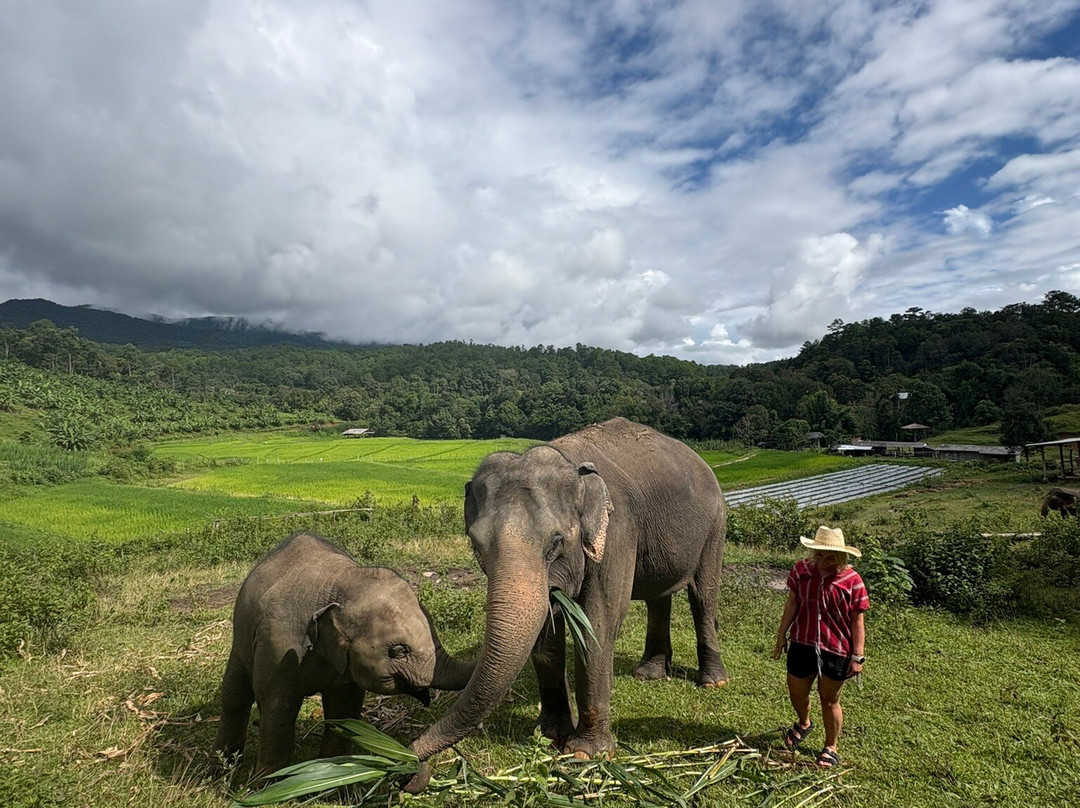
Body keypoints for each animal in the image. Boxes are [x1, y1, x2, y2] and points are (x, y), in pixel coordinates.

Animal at [212, 532, 474, 777]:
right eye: (398, 651)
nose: (412, 762)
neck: (341, 583)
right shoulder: (277, 646)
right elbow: (278, 707)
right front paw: (267, 785)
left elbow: (344, 709)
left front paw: (333, 776)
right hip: (242, 636)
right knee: (235, 695)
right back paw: (221, 770)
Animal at [405, 417, 727, 791]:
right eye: (475, 543)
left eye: (556, 541)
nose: (415, 768)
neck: (568, 460)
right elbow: (546, 634)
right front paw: (548, 736)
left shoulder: (617, 531)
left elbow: (598, 622)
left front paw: (586, 753)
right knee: (658, 596)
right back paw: (648, 674)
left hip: (715, 524)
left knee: (703, 595)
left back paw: (713, 682)